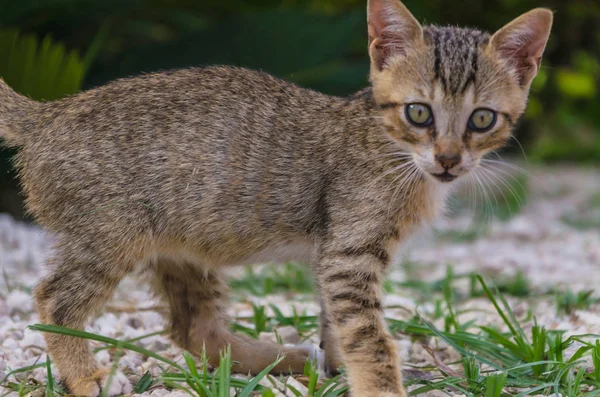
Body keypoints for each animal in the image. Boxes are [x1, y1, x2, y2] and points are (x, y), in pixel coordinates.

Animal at [0, 0, 552, 396]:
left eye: (482, 119)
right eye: (419, 113)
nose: (449, 159)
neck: (393, 151)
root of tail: (49, 114)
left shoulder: (335, 254)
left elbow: (338, 323)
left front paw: (338, 370)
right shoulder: (350, 251)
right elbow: (369, 335)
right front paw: (381, 387)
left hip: (182, 244)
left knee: (192, 328)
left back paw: (278, 361)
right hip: (111, 235)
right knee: (54, 300)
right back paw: (84, 376)